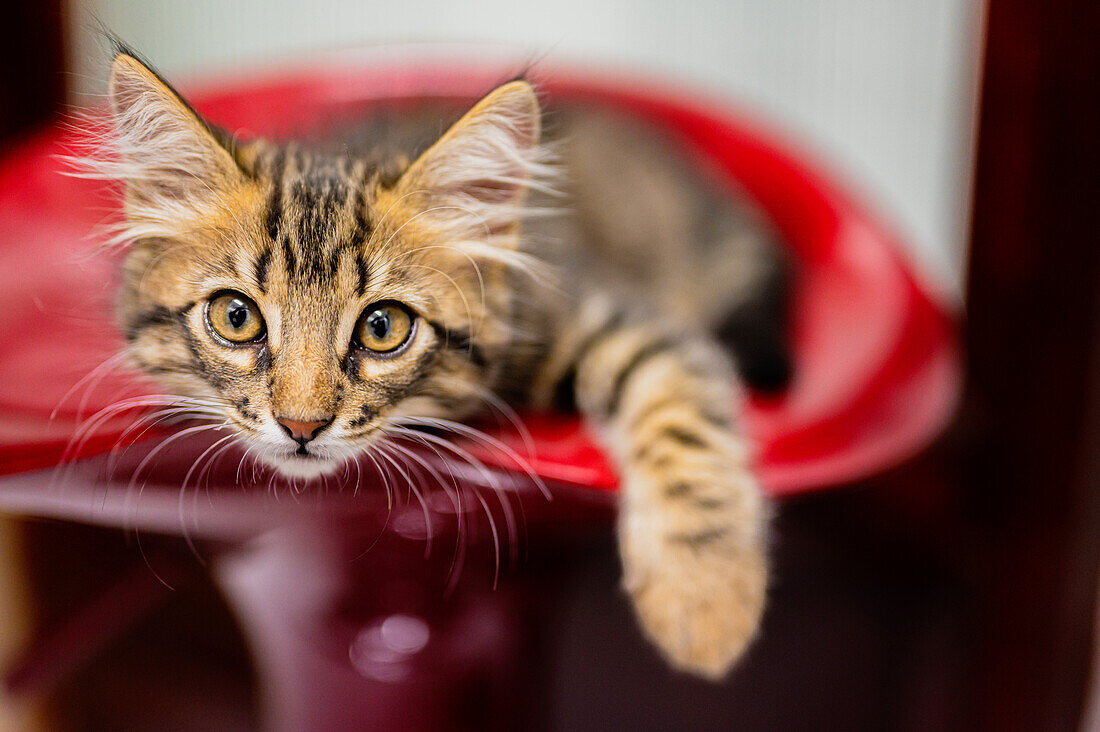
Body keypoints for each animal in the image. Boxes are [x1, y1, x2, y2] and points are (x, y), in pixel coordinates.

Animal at [94, 50, 792, 678]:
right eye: (236, 317)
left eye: (382, 328)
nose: (301, 426)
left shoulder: (617, 317)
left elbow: (680, 420)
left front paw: (705, 602)